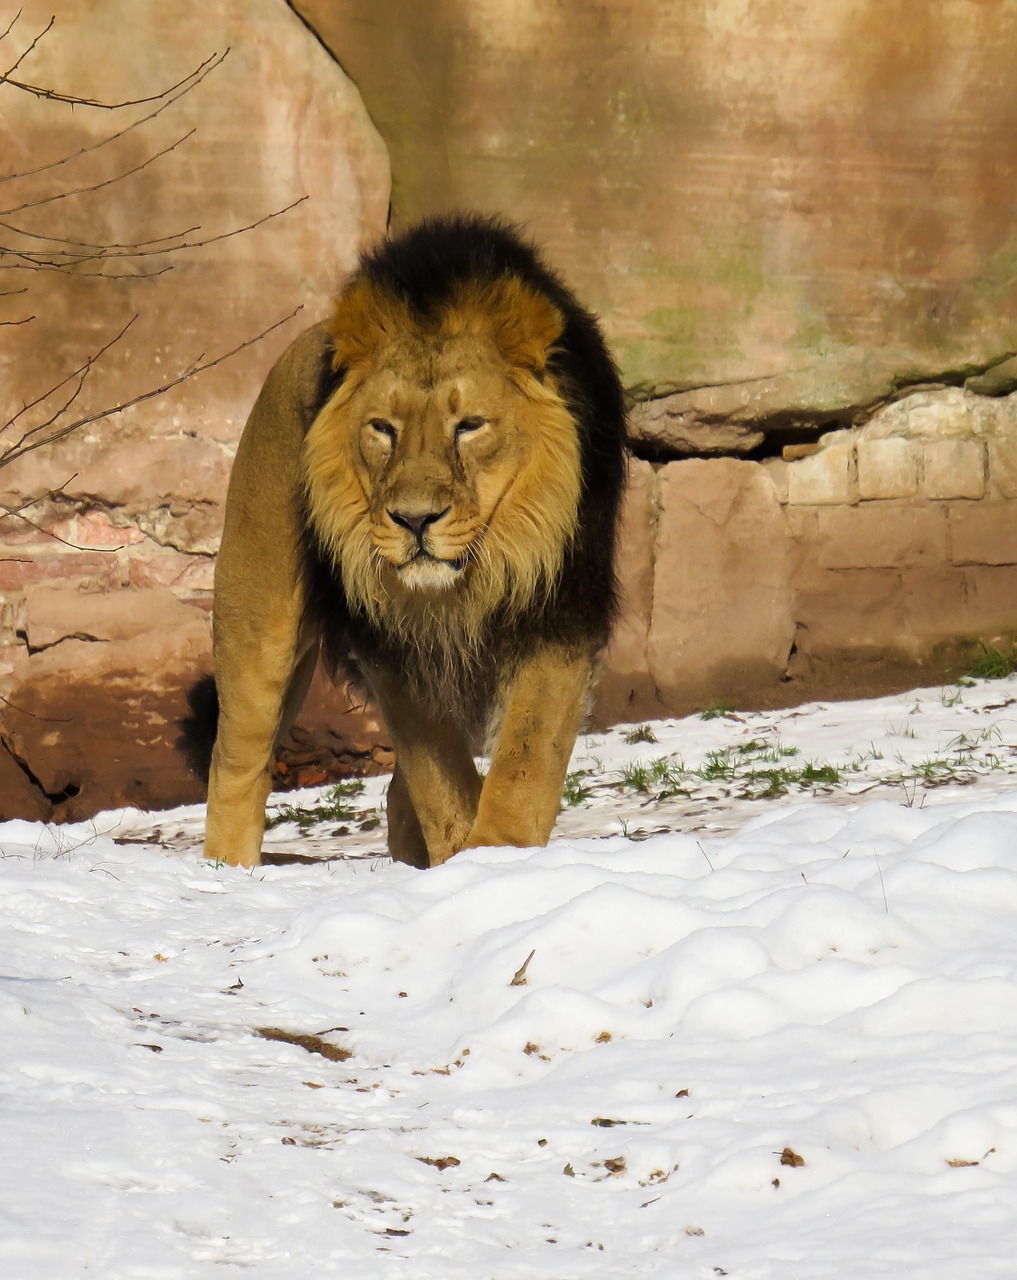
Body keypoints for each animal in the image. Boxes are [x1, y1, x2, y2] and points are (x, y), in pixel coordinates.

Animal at [195, 215, 629, 870]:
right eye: (383, 429)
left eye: (469, 425)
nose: (414, 520)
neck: (471, 579)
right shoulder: (391, 647)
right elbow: (438, 777)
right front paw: (466, 856)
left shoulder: (561, 613)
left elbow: (525, 761)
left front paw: (496, 857)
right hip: (257, 622)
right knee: (237, 762)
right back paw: (227, 874)